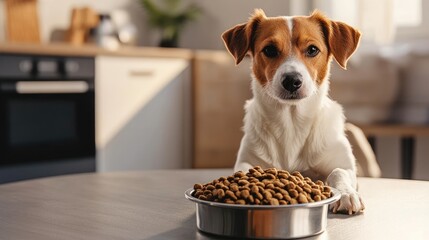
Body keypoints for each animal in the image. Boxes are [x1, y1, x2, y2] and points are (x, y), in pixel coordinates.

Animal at [221, 9, 364, 215]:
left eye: (312, 49)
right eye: (270, 50)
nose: (292, 81)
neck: (292, 122)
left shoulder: (343, 164)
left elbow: (338, 172)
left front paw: (346, 193)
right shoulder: (247, 161)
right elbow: (245, 171)